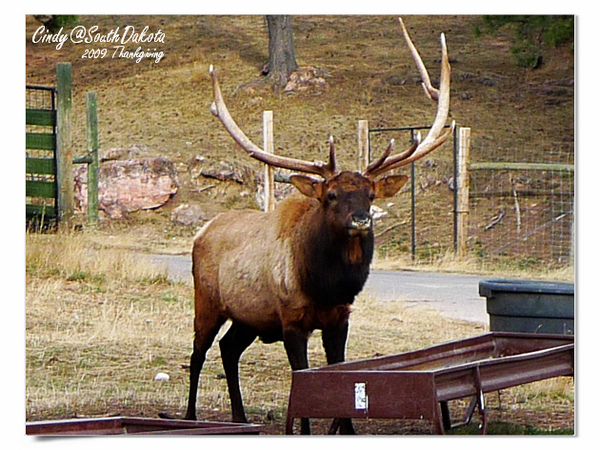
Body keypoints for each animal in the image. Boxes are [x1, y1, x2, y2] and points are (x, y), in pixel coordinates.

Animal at [185, 19, 452, 434]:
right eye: (331, 195)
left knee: (228, 349)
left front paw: (345, 427)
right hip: (208, 300)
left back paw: (241, 418)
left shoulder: (340, 317)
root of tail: (201, 232)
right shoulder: (292, 320)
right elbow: (302, 385)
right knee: (197, 354)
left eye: (370, 194)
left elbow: (337, 377)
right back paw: (190, 416)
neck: (324, 284)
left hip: (250, 317)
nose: (361, 219)